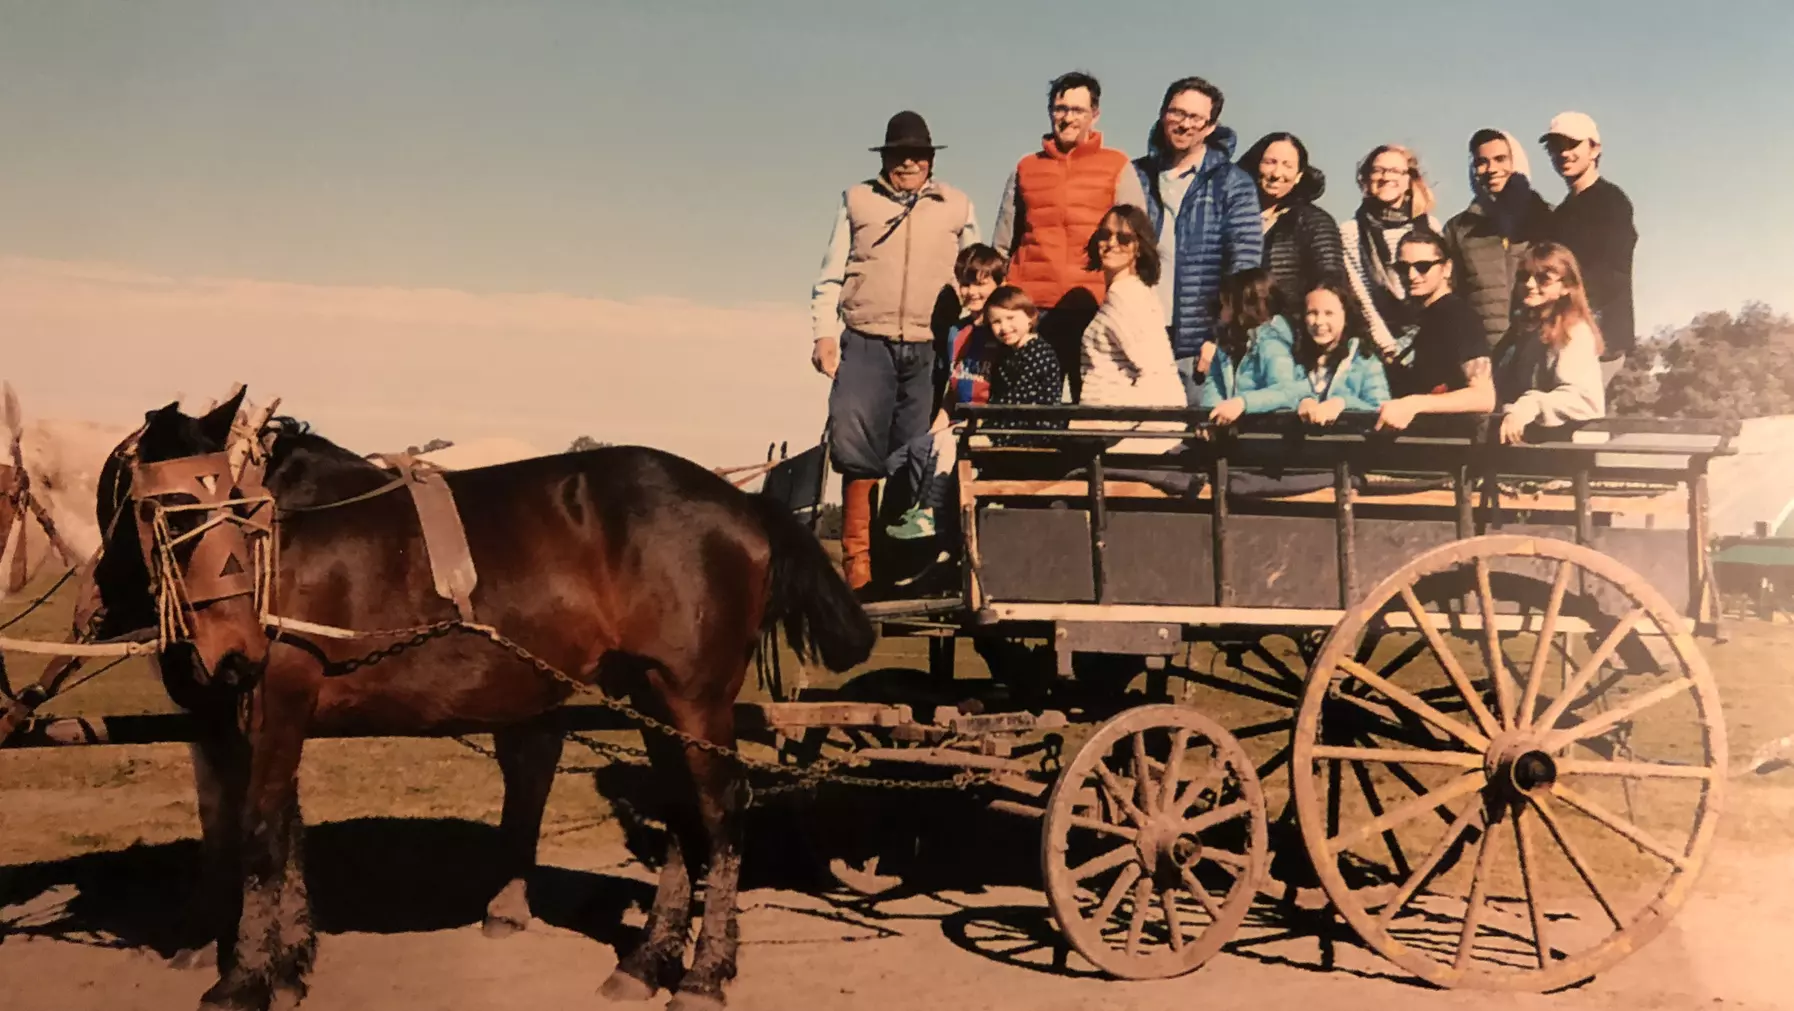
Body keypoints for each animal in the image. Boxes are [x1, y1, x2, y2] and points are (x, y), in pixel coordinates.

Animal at [91, 388, 875, 1011]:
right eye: (164, 508)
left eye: (226, 504)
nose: (234, 648)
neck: (279, 539)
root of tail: (743, 502)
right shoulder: (262, 713)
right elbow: (283, 833)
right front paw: (286, 966)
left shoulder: (280, 694)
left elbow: (260, 833)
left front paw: (245, 978)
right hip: (649, 695)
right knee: (684, 814)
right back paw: (648, 961)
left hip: (695, 696)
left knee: (720, 810)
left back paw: (706, 973)